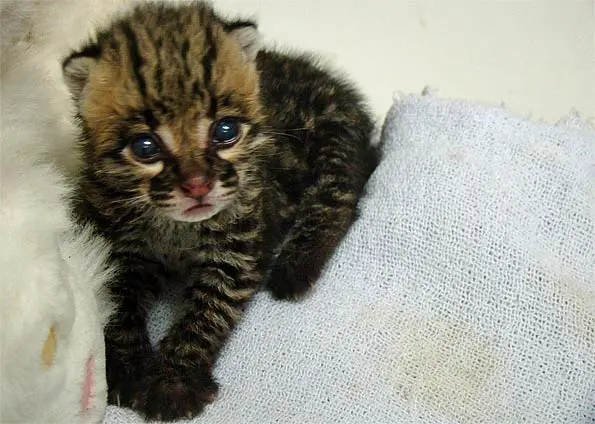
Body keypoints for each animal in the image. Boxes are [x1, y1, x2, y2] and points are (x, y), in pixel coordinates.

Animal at [61, 1, 378, 420]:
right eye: (145, 147)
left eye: (225, 132)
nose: (198, 186)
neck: (175, 227)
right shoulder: (118, 245)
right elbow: (118, 304)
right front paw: (127, 367)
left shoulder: (238, 244)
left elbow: (211, 308)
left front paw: (173, 381)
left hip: (334, 136)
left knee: (337, 201)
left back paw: (295, 269)